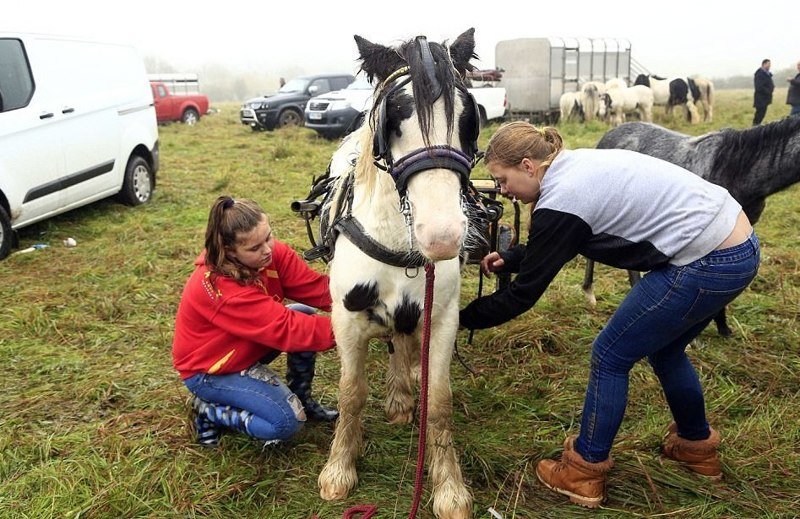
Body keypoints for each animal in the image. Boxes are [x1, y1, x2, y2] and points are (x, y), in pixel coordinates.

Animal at [312, 29, 482, 519]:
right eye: (396, 115)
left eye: (467, 115)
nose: (442, 235)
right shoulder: (346, 320)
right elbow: (351, 393)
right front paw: (339, 468)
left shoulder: (442, 321)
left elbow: (439, 401)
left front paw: (449, 488)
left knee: (403, 343)